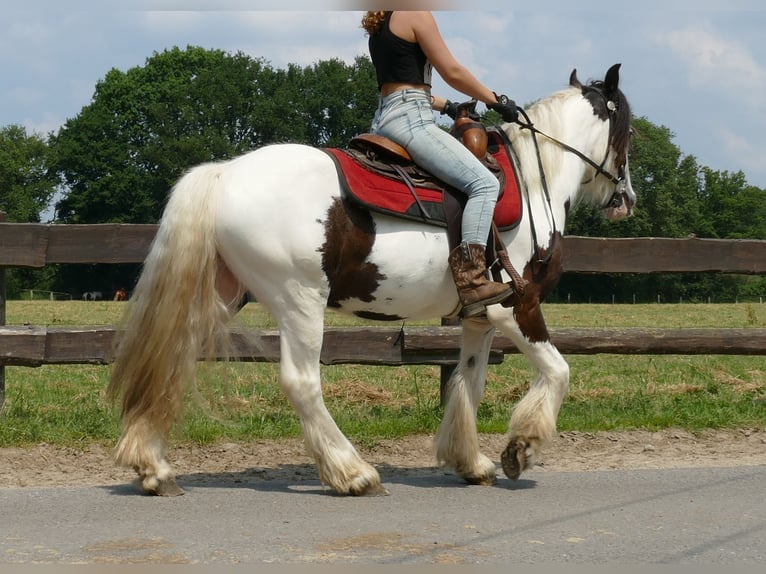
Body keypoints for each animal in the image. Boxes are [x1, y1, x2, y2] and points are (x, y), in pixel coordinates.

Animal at [108, 62, 636, 496]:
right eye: (628, 131)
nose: (626, 198)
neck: (530, 182)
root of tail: (224, 174)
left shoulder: (479, 317)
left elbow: (469, 381)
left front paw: (470, 461)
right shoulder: (515, 307)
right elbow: (558, 372)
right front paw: (520, 448)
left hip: (223, 296)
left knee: (174, 360)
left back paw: (153, 468)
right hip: (300, 300)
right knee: (301, 381)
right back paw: (351, 472)